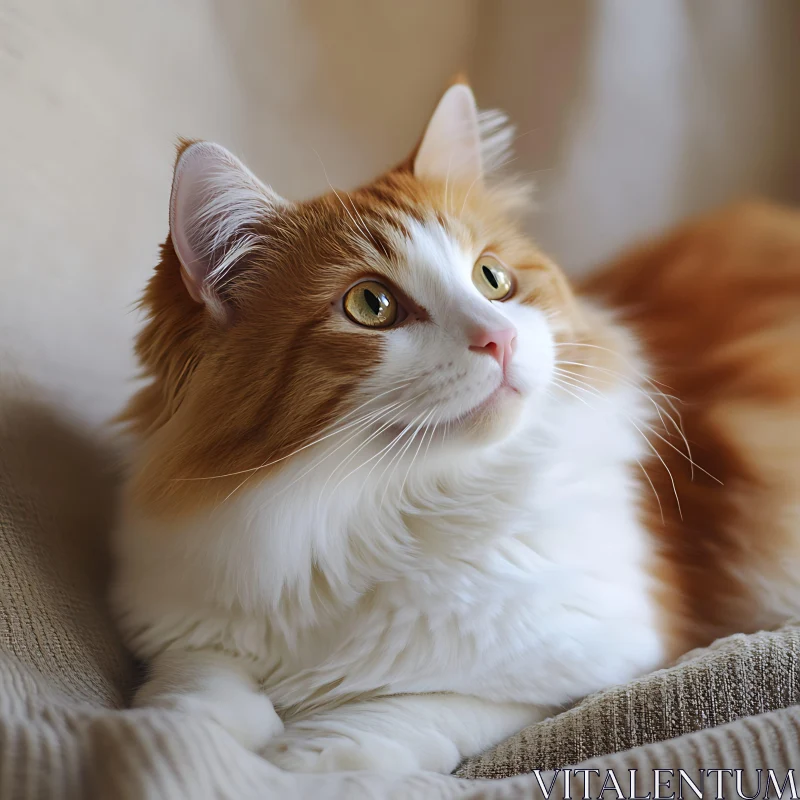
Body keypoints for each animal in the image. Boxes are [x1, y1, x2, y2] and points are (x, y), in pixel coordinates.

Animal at [111, 83, 800, 776]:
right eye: (371, 304)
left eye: (493, 279)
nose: (501, 337)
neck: (365, 516)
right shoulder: (187, 611)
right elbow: (192, 679)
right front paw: (197, 736)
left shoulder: (599, 655)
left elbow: (420, 704)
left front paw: (299, 759)